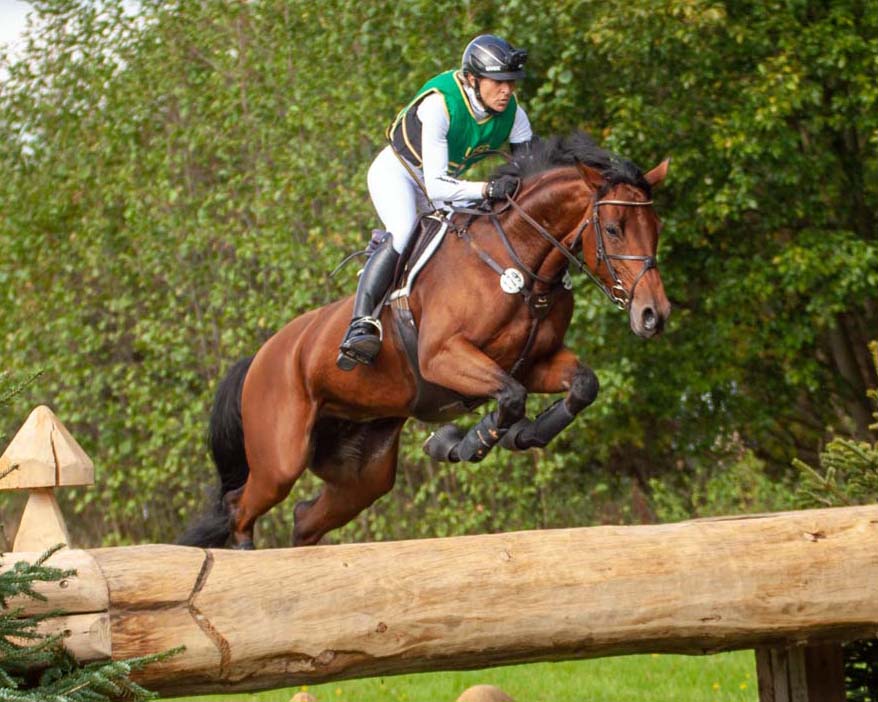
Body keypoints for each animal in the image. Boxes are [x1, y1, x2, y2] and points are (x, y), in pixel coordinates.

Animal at [179, 131, 672, 552]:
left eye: (656, 227)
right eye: (614, 228)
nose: (654, 315)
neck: (516, 261)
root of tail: (260, 358)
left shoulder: (535, 362)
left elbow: (581, 386)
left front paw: (517, 437)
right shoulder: (444, 357)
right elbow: (510, 397)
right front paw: (460, 442)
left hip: (364, 468)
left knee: (304, 518)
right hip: (280, 457)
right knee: (240, 508)